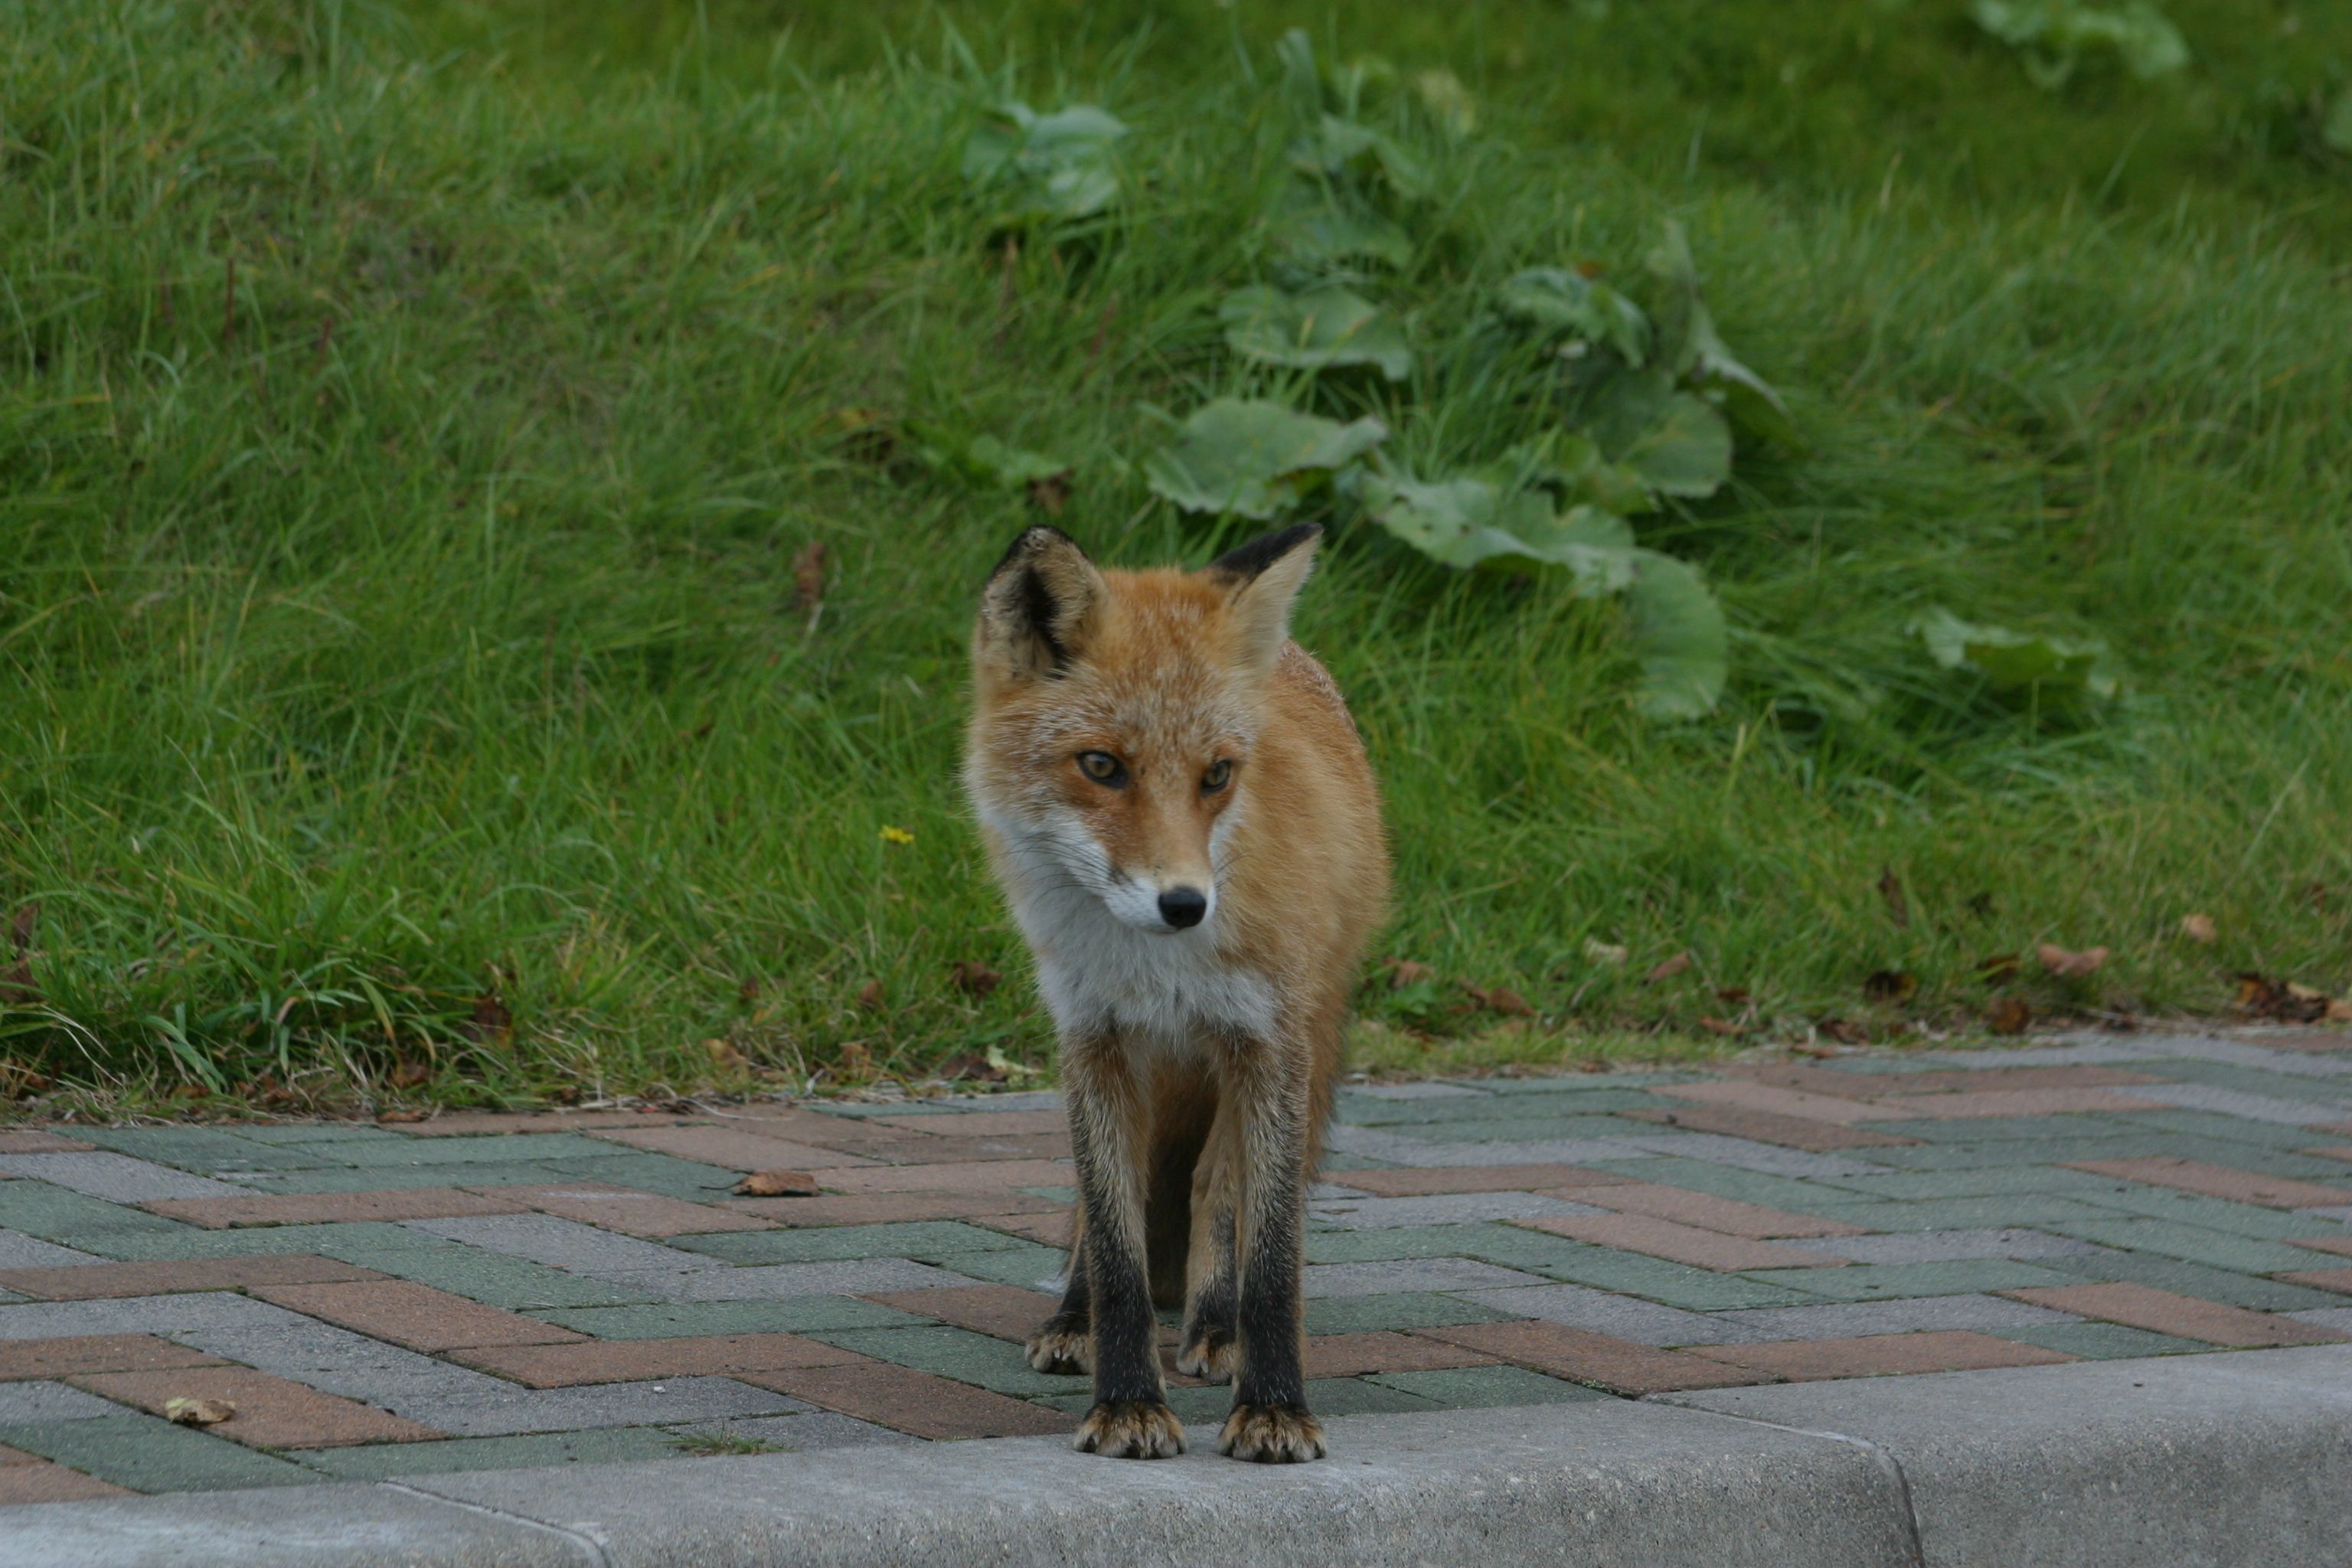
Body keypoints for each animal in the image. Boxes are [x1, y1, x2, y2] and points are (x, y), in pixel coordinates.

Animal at [963, 521, 1388, 1464]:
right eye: (1100, 765)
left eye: (1218, 775)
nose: (1187, 904)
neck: (1159, 970)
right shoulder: (1094, 1038)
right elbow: (1116, 1242)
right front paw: (1125, 1402)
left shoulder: (1268, 1042)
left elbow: (1269, 1252)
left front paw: (1273, 1405)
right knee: (1105, 1213)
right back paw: (1074, 1320)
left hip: (1272, 1048)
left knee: (1213, 1189)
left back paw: (1217, 1329)